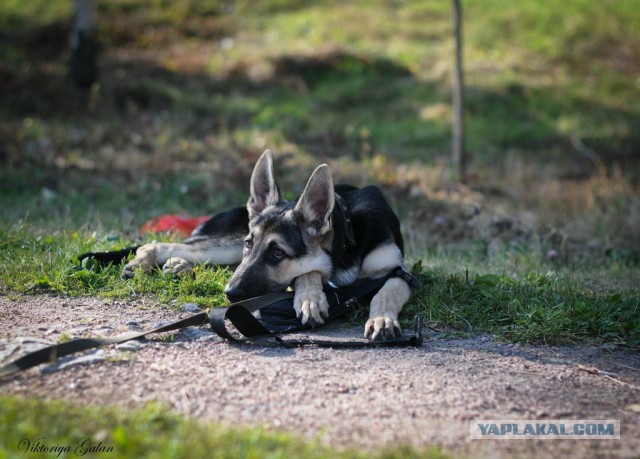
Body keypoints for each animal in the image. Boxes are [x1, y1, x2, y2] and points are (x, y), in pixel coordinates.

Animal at [121, 149, 410, 340]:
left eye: (278, 253)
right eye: (250, 243)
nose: (230, 293)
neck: (346, 243)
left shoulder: (401, 272)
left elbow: (387, 292)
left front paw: (382, 319)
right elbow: (308, 272)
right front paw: (310, 299)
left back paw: (180, 266)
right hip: (227, 246)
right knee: (159, 244)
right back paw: (144, 262)